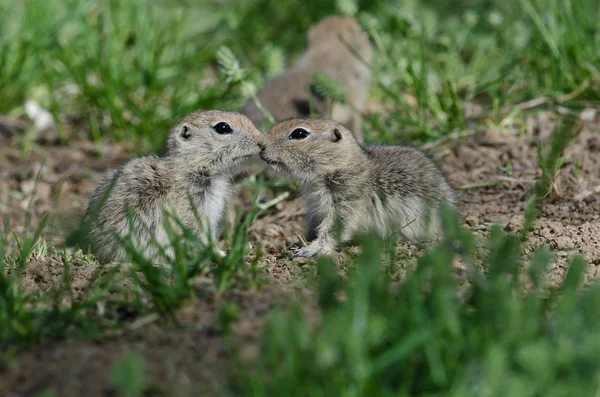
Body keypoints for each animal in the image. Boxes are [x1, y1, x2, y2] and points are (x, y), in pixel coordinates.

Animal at [81, 110, 264, 262]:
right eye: (222, 127)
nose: (261, 142)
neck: (191, 167)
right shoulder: (192, 213)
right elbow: (201, 238)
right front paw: (224, 254)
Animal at [260, 117, 458, 256]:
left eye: (299, 134)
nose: (261, 147)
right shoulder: (315, 209)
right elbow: (313, 227)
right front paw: (296, 243)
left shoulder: (347, 199)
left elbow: (336, 227)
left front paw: (312, 249)